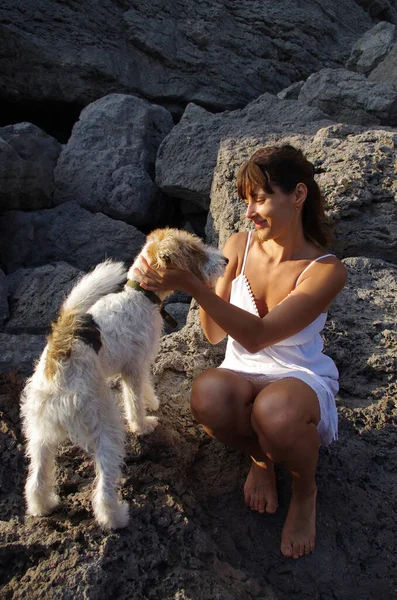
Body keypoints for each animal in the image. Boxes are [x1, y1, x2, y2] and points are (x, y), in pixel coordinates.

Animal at [20, 227, 226, 528]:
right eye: (194, 250)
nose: (225, 260)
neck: (140, 296)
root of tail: (58, 355)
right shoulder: (133, 369)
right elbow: (134, 401)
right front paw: (144, 423)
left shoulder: (141, 363)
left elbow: (146, 389)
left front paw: (152, 403)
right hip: (105, 426)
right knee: (104, 485)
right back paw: (115, 517)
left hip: (39, 433)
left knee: (35, 479)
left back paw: (42, 506)